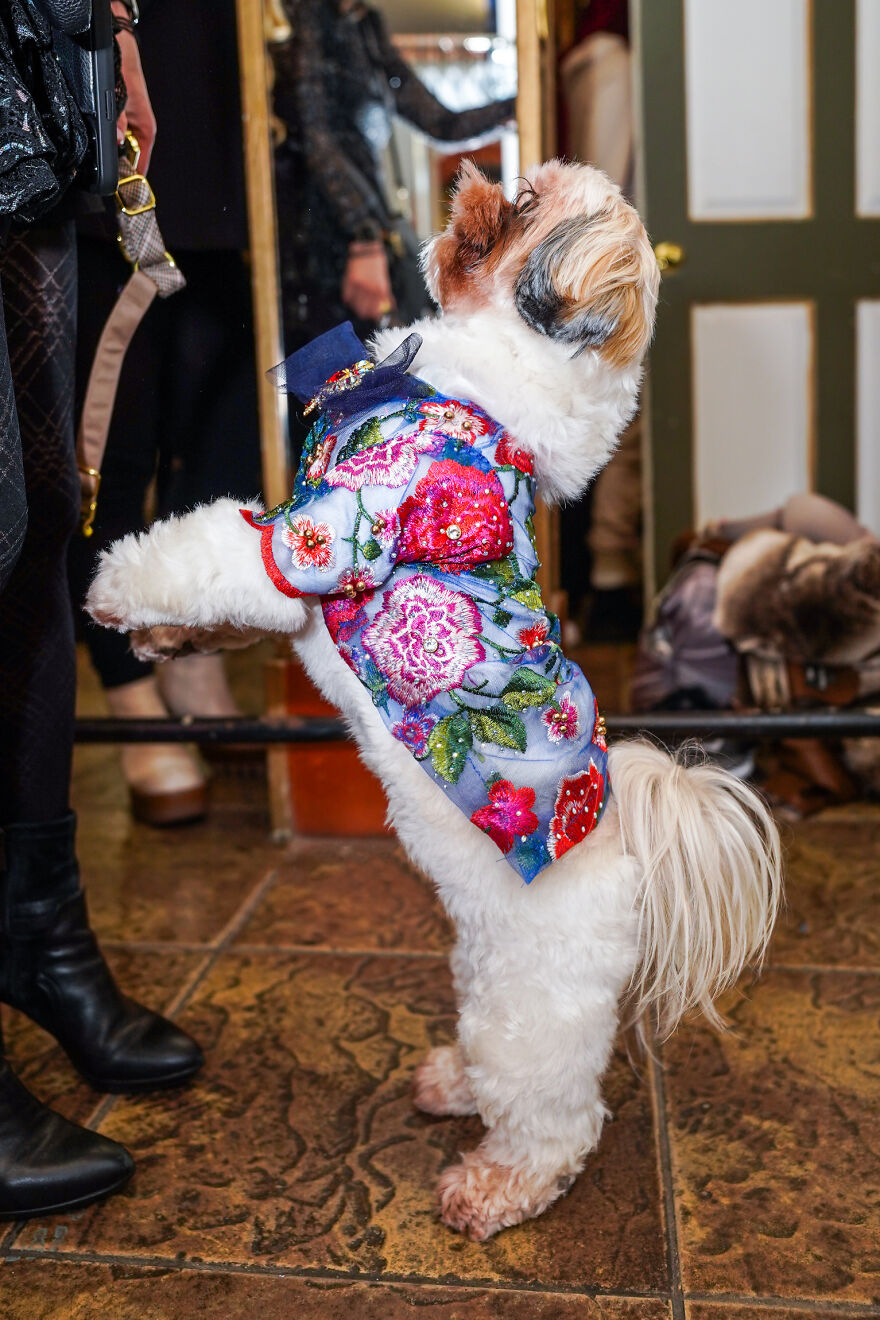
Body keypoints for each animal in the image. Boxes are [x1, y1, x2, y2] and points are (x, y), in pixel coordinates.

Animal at [84, 159, 786, 1240]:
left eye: (531, 201)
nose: (472, 174)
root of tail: (626, 847)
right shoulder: (294, 579)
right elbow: (223, 598)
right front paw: (165, 639)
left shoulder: (319, 538)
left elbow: (204, 550)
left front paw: (119, 589)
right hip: (480, 963)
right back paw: (452, 1085)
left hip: (531, 1013)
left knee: (558, 1122)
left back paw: (495, 1187)